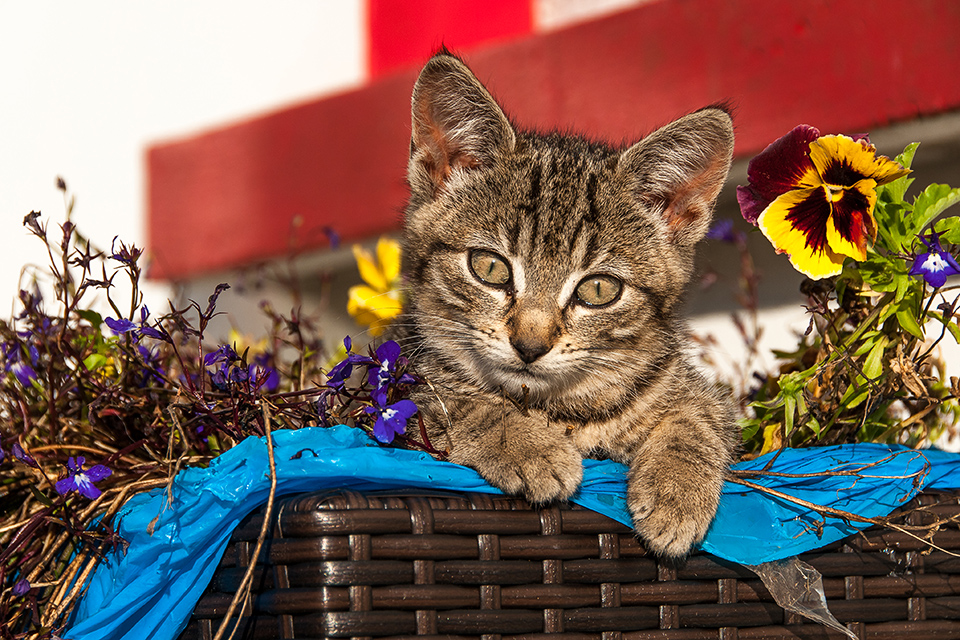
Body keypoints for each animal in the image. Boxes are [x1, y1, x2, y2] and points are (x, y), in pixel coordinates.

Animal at [390, 52, 736, 556]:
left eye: (599, 290)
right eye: (489, 267)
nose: (530, 345)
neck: (561, 410)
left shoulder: (705, 395)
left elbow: (700, 416)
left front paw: (678, 492)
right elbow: (454, 403)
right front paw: (530, 446)